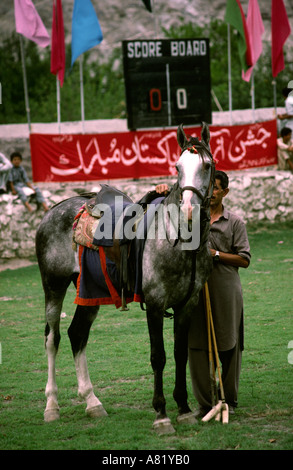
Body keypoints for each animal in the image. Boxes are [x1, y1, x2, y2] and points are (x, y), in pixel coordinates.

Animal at [36, 123, 214, 436]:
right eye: (178, 167)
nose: (189, 210)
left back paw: (92, 402)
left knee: (76, 334)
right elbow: (159, 356)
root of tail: (54, 210)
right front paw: (161, 415)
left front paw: (183, 409)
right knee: (52, 338)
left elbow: (180, 353)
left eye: (207, 165)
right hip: (53, 286)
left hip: (89, 292)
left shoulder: (187, 304)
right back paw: (52, 406)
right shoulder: (155, 304)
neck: (176, 240)